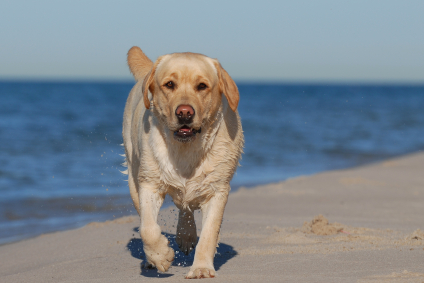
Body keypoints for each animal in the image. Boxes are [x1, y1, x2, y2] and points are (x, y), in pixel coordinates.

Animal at [122, 46, 243, 280]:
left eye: (202, 86)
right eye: (170, 84)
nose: (184, 112)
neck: (185, 149)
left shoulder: (217, 190)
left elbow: (209, 233)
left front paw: (201, 267)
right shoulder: (149, 184)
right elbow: (147, 228)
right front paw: (160, 255)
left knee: (185, 207)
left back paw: (186, 236)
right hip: (133, 176)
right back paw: (152, 257)